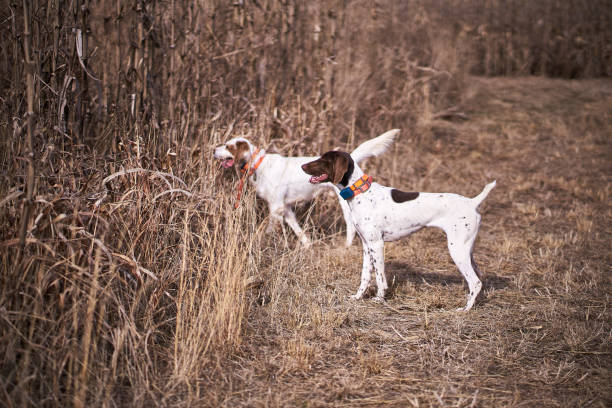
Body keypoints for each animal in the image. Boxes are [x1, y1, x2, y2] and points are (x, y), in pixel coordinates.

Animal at [213, 129, 400, 247]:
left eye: (228, 146)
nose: (214, 149)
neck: (260, 165)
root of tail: (350, 159)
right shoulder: (285, 207)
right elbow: (297, 229)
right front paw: (307, 245)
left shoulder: (276, 207)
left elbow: (269, 229)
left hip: (345, 203)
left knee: (350, 226)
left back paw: (346, 245)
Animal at [302, 151, 498, 310]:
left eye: (324, 160)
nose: (302, 166)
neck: (361, 192)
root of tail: (472, 202)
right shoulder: (366, 246)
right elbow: (365, 277)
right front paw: (358, 297)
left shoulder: (377, 245)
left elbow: (380, 277)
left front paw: (379, 299)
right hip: (466, 250)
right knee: (479, 278)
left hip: (457, 250)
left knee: (475, 282)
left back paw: (465, 309)